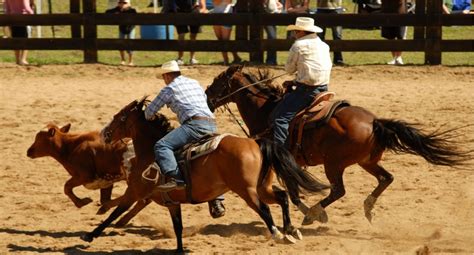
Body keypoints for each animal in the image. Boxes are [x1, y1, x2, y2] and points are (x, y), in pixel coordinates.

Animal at [79, 97, 328, 253]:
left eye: (120, 117)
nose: (105, 133)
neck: (149, 152)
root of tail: (255, 143)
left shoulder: (135, 192)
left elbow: (114, 213)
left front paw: (89, 236)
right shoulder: (172, 203)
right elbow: (178, 227)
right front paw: (179, 250)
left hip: (246, 190)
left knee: (264, 208)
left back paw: (277, 234)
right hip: (262, 187)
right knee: (282, 197)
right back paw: (291, 231)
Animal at [205, 64, 470, 225]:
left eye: (218, 81)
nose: (206, 98)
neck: (265, 109)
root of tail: (375, 121)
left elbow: (293, 191)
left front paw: (306, 211)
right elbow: (293, 188)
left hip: (334, 164)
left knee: (339, 190)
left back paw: (314, 214)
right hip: (366, 161)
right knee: (386, 178)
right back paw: (368, 208)